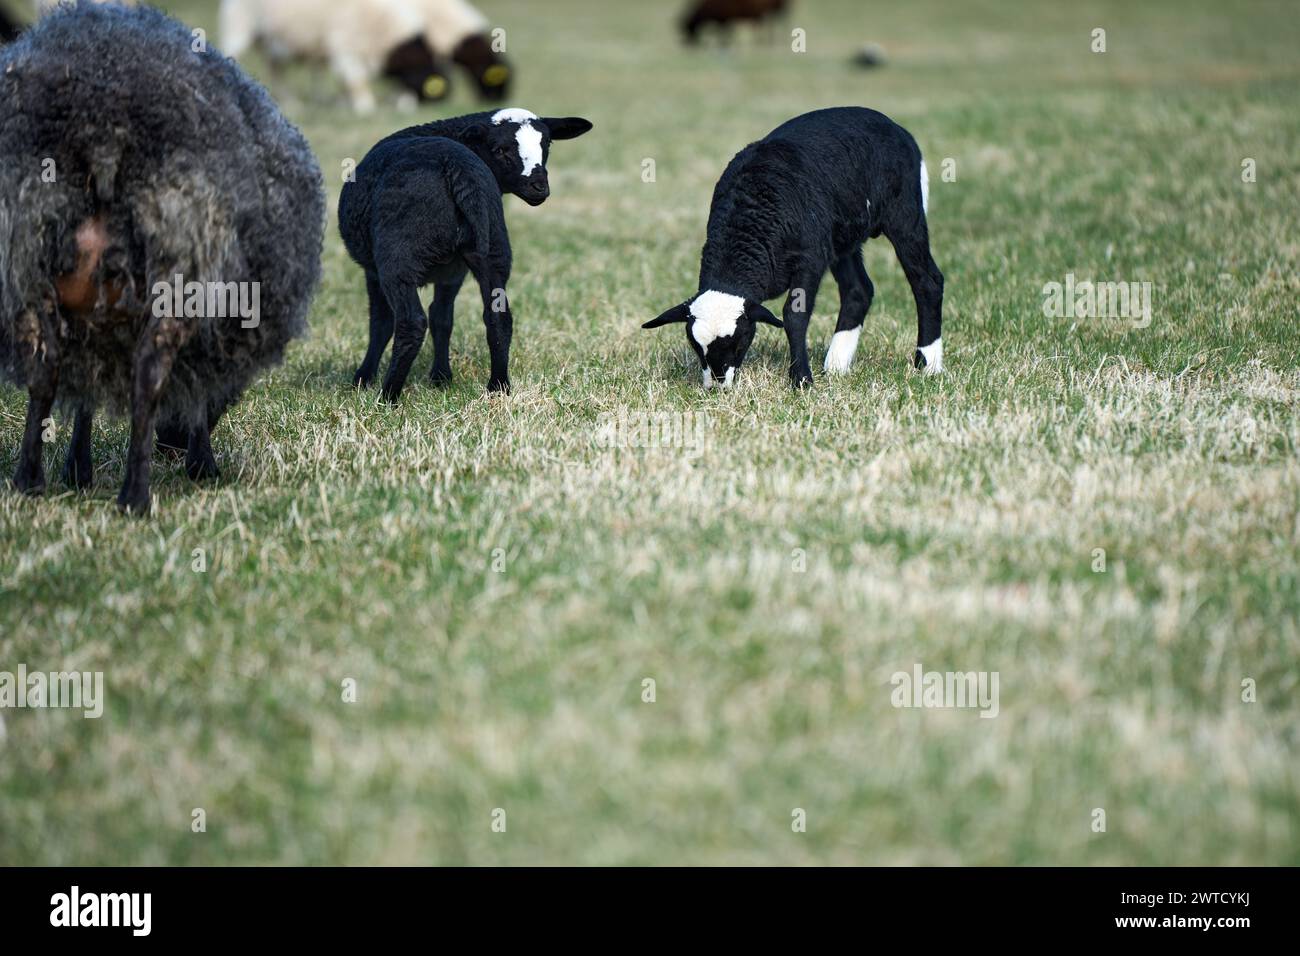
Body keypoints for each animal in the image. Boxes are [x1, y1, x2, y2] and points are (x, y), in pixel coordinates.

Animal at [0, 3, 325, 515]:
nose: (169, 447)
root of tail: (102, 125)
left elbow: (85, 400)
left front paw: (77, 470)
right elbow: (197, 396)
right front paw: (202, 464)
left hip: (25, 256)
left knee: (44, 370)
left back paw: (30, 480)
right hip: (180, 263)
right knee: (149, 375)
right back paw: (135, 496)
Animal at [642, 105, 941, 390]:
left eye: (739, 342)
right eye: (696, 347)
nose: (717, 385)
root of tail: (896, 127)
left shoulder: (809, 259)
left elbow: (794, 316)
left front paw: (801, 380)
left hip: (905, 214)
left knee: (927, 281)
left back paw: (928, 363)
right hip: (841, 239)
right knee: (859, 289)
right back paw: (836, 365)